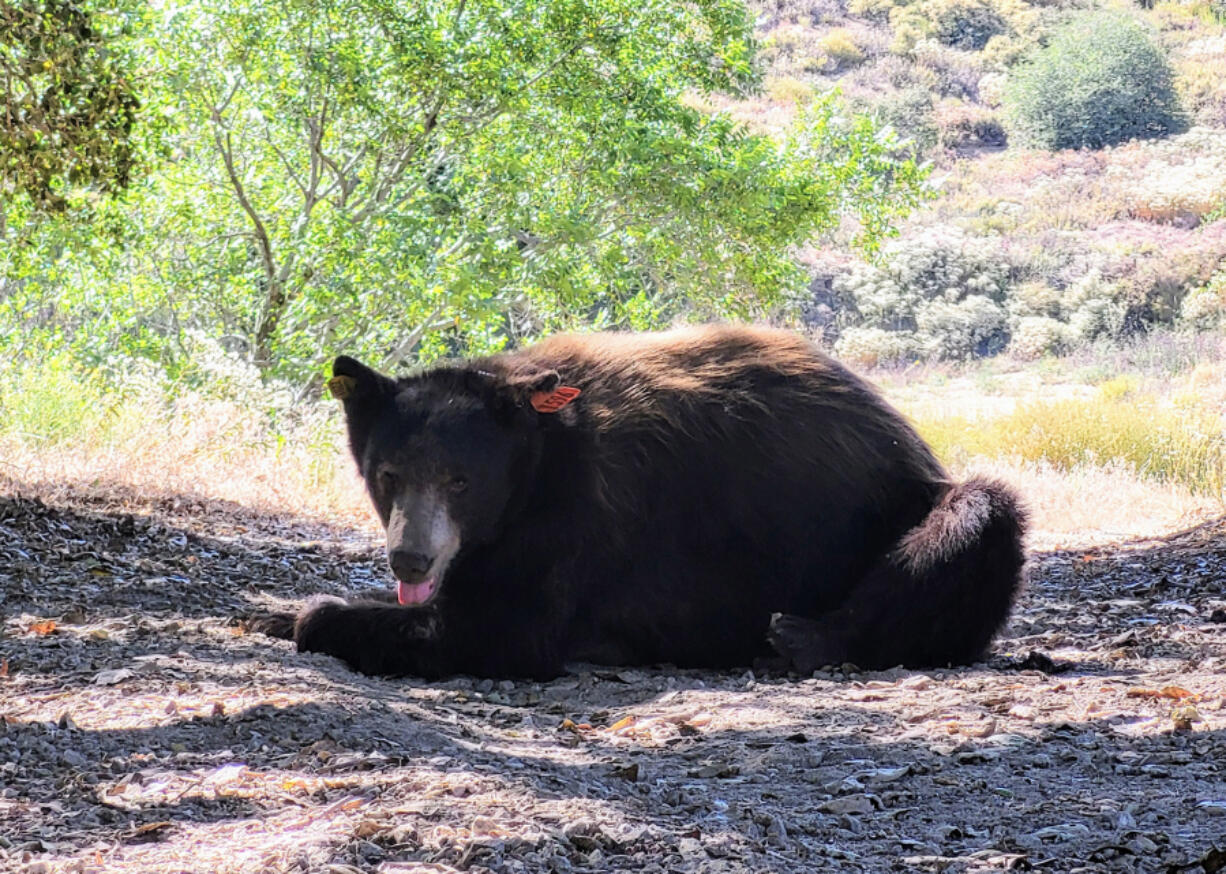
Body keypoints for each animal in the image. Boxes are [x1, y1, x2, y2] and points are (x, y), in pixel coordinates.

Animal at [266, 326, 1024, 676]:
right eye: (388, 473)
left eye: (460, 480)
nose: (412, 560)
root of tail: (913, 441)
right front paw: (277, 606)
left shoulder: (582, 517)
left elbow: (500, 628)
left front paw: (319, 613)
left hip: (902, 510)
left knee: (978, 516)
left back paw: (807, 635)